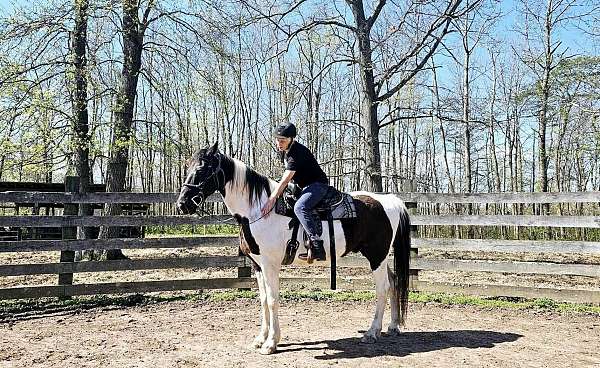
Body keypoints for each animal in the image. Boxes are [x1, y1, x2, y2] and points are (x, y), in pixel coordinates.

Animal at [176, 142, 410, 356]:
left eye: (202, 169)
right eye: (188, 166)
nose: (182, 204)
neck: (259, 210)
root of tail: (389, 200)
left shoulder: (270, 264)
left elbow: (272, 300)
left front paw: (271, 343)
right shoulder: (258, 265)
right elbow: (263, 300)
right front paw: (260, 339)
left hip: (376, 256)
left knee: (382, 288)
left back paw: (372, 332)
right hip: (380, 258)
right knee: (393, 282)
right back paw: (392, 327)